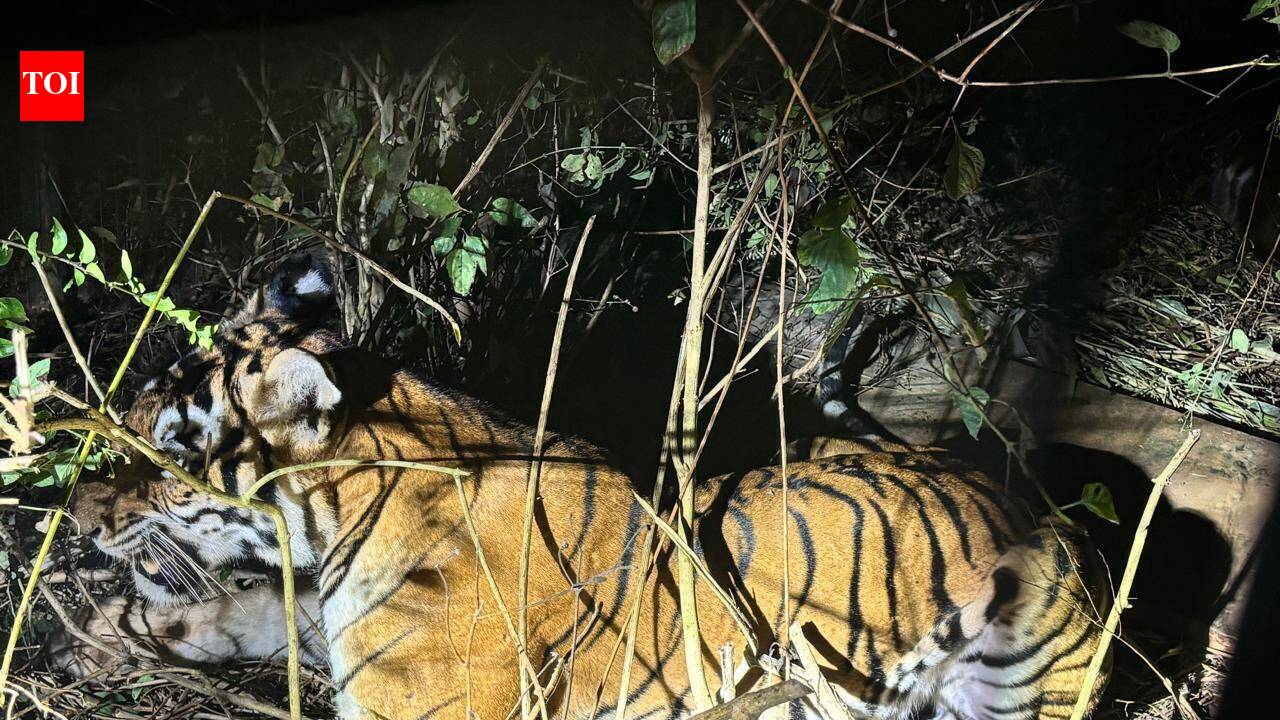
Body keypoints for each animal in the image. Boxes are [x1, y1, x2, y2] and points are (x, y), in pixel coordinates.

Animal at [49, 255, 1109, 720]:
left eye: (171, 449)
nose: (77, 512)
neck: (344, 531)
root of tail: (1017, 498)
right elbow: (249, 610)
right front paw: (109, 633)